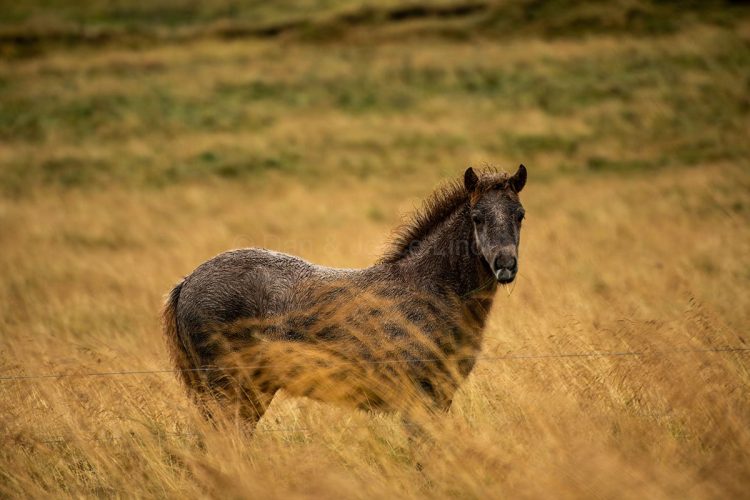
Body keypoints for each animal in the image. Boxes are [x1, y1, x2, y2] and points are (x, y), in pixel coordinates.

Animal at [162, 165, 527, 429]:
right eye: (477, 217)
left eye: (520, 215)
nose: (505, 265)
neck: (428, 288)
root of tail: (187, 282)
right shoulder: (421, 399)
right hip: (226, 389)